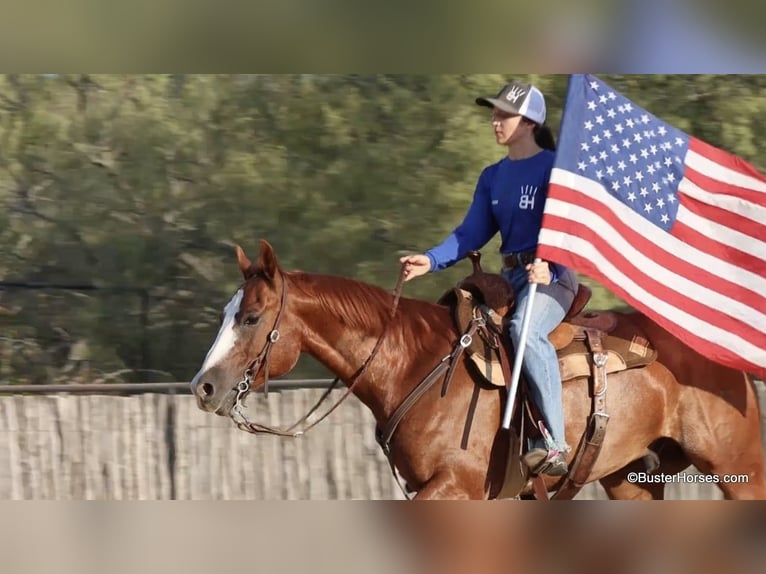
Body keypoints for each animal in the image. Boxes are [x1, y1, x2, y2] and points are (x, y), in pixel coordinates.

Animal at [188, 241, 766, 502]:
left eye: (252, 316)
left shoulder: (456, 487)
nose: (203, 387)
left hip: (737, 467)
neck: (413, 365)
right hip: (630, 479)